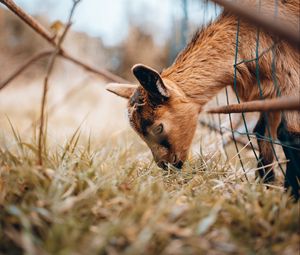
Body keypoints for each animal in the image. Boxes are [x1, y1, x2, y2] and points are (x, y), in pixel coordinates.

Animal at [106, 0, 298, 198]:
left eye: (158, 128)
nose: (166, 166)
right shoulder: (270, 95)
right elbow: (263, 133)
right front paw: (266, 187)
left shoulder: (290, 77)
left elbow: (289, 133)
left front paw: (290, 195)